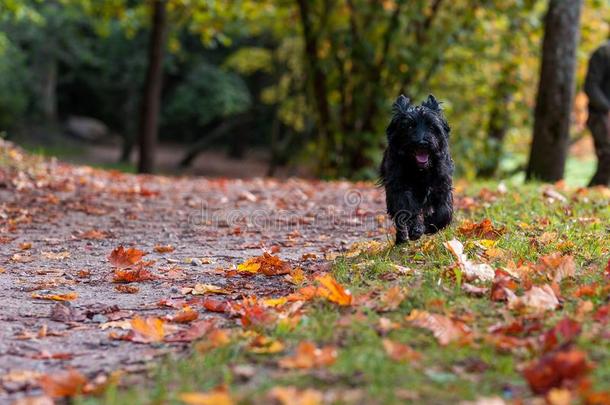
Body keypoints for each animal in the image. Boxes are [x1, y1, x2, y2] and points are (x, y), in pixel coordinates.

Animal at [380, 94, 452, 243]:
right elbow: (408, 209)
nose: (422, 142)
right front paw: (417, 229)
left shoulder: (441, 185)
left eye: (431, 126)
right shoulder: (400, 188)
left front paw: (431, 225)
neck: (420, 170)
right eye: (409, 126)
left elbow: (444, 211)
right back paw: (401, 239)